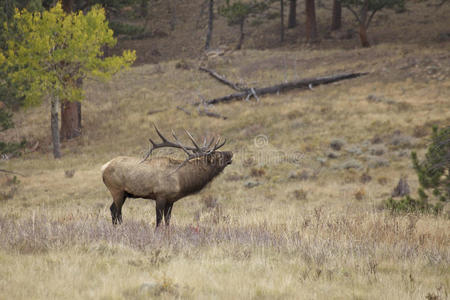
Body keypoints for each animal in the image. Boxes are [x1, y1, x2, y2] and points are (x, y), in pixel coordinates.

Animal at [101, 126, 232, 227]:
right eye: (218, 156)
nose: (230, 153)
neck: (181, 180)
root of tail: (103, 167)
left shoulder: (171, 200)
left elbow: (168, 221)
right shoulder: (160, 195)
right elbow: (159, 220)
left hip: (124, 193)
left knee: (112, 209)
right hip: (116, 190)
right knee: (117, 211)